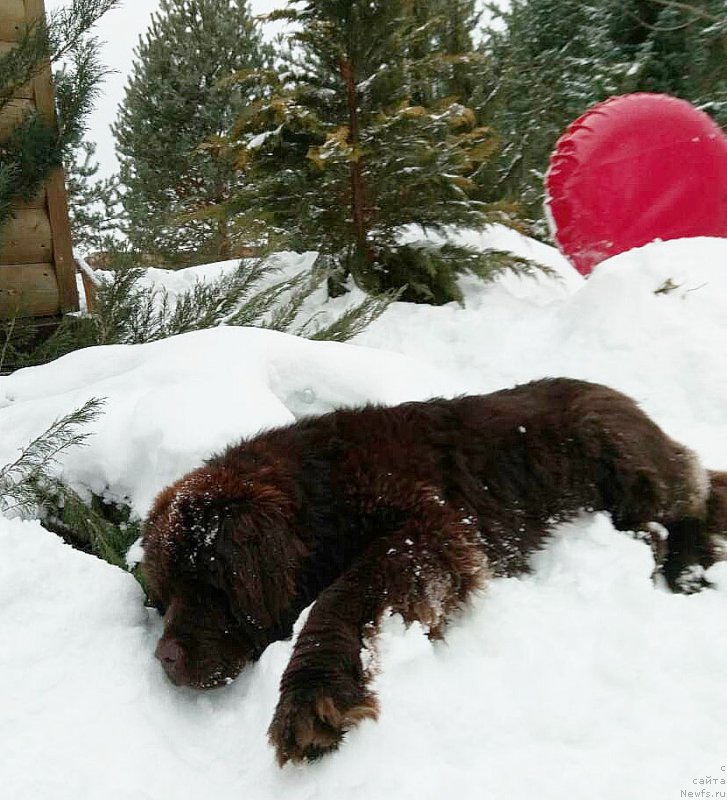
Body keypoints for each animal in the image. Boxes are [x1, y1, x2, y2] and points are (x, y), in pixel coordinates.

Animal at [142, 378, 727, 764]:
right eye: (166, 593)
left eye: (211, 584)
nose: (163, 657)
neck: (318, 495)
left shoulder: (429, 526)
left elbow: (345, 594)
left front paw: (312, 695)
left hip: (612, 441)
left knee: (690, 497)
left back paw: (682, 565)